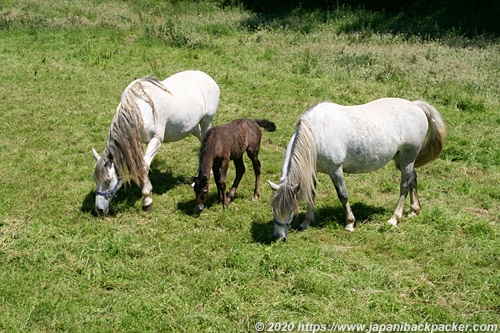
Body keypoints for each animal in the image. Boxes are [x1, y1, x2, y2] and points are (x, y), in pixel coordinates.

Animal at [92, 70, 221, 215]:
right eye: (95, 179)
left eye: (108, 180)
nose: (99, 210)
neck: (139, 109)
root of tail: (207, 77)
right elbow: (142, 165)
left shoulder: (156, 140)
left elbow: (143, 167)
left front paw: (147, 201)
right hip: (193, 127)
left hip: (206, 122)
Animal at [268, 97, 448, 240]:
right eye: (273, 209)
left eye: (291, 210)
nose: (279, 237)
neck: (316, 134)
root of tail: (416, 106)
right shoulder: (314, 170)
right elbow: (311, 194)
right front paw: (307, 222)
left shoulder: (335, 169)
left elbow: (343, 195)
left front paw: (350, 223)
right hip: (403, 159)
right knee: (413, 178)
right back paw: (413, 210)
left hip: (408, 157)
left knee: (404, 185)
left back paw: (394, 219)